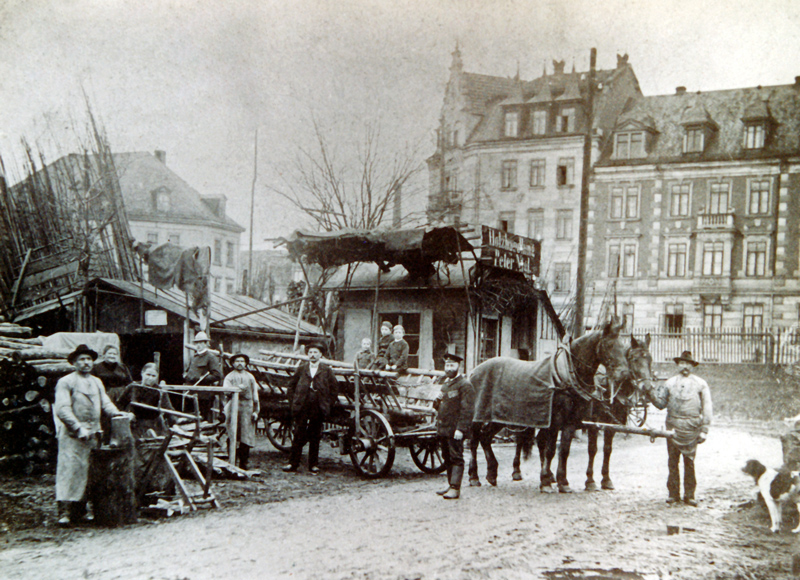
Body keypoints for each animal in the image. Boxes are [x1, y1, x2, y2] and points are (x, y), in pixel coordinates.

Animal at [468, 314, 632, 492]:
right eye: (609, 345)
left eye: (624, 347)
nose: (624, 373)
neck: (565, 374)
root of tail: (474, 371)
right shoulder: (557, 421)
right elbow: (551, 450)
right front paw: (546, 481)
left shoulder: (571, 422)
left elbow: (564, 450)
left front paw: (563, 482)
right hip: (480, 416)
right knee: (474, 441)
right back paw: (474, 476)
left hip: (499, 418)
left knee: (485, 437)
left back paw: (491, 473)